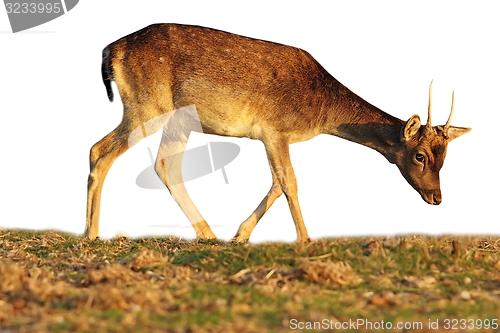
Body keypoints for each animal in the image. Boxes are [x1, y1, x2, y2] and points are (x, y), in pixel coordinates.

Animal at [84, 23, 470, 241]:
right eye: (419, 155)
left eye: (446, 158)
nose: (437, 198)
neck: (321, 111)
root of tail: (110, 51)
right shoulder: (274, 129)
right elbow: (289, 182)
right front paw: (305, 239)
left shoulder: (274, 137)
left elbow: (275, 182)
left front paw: (240, 235)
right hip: (148, 105)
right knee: (99, 150)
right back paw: (91, 233)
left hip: (176, 120)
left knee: (165, 165)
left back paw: (208, 234)